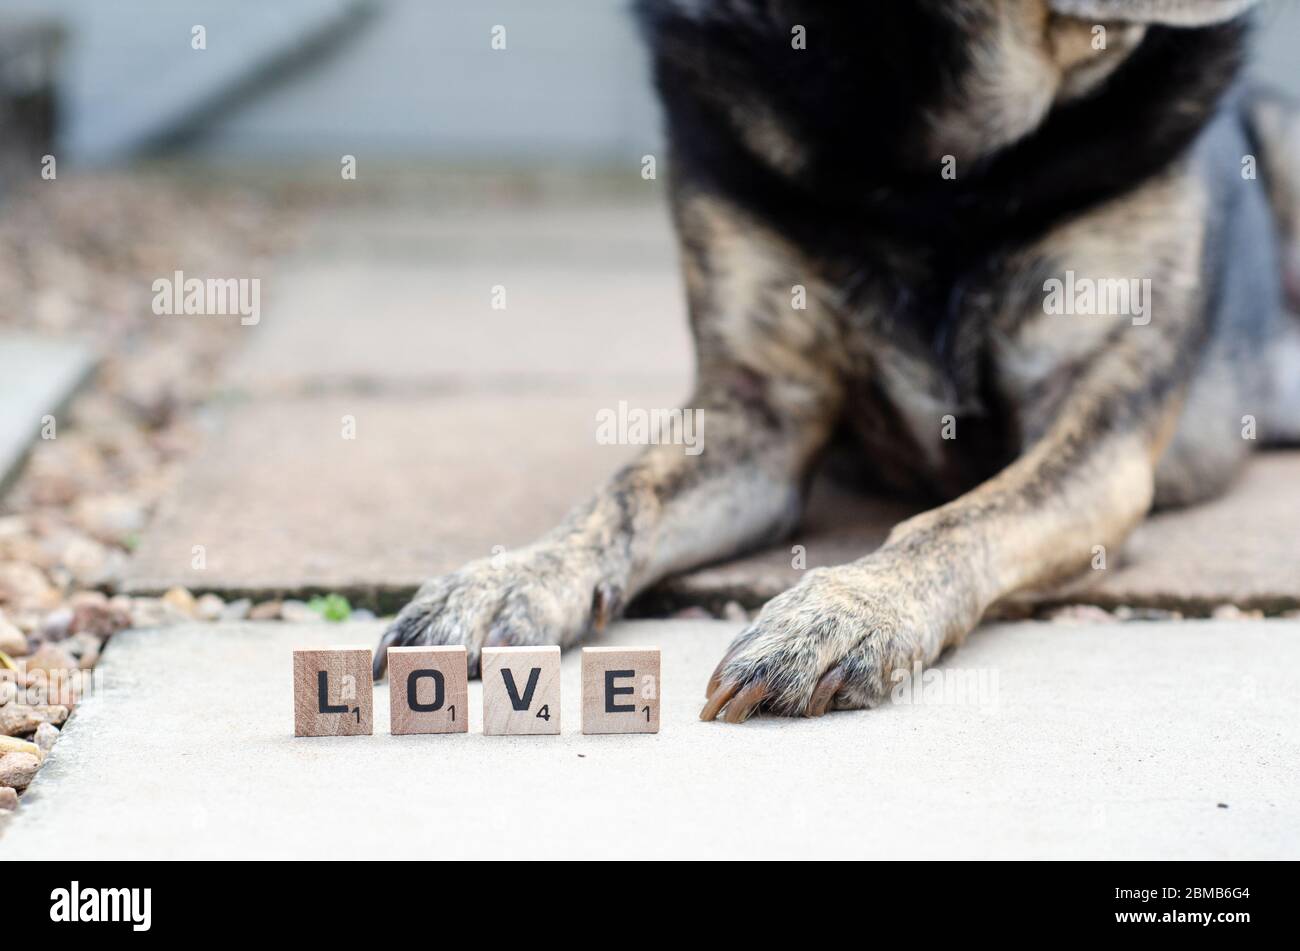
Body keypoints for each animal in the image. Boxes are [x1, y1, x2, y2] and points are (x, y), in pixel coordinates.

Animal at [371, 0, 1294, 722]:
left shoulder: (1099, 434)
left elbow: (959, 518)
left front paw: (848, 610)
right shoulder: (760, 414)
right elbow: (625, 490)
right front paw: (515, 574)